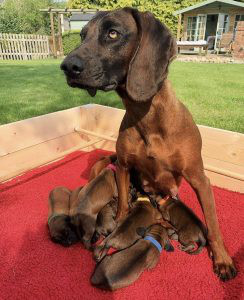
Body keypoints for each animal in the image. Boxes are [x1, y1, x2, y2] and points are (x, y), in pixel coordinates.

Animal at [60, 7, 236, 282]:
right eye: (82, 35)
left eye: (113, 33)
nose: (67, 66)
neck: (148, 119)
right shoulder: (122, 166)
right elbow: (123, 205)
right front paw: (120, 223)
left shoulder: (200, 179)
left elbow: (214, 225)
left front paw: (222, 259)